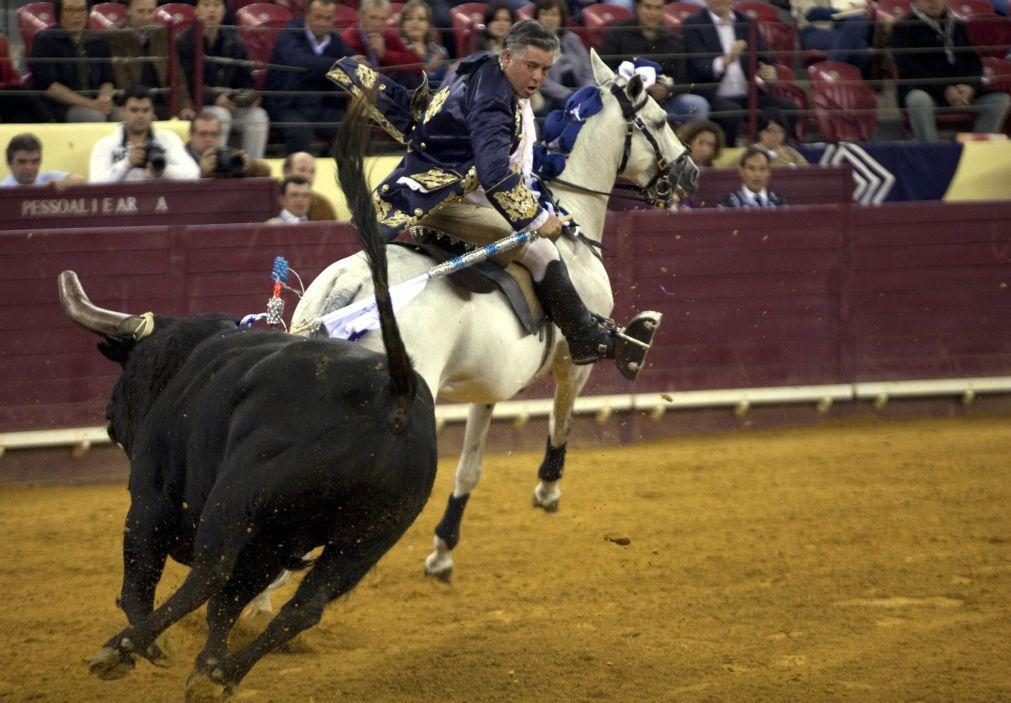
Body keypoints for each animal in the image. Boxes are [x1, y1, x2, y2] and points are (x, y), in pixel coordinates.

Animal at [293, 52, 699, 582]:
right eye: (662, 120)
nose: (691, 172)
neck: (571, 218)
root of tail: (349, 289)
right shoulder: (573, 364)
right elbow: (563, 417)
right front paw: (547, 489)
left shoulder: (489, 384)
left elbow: (471, 465)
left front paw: (443, 549)